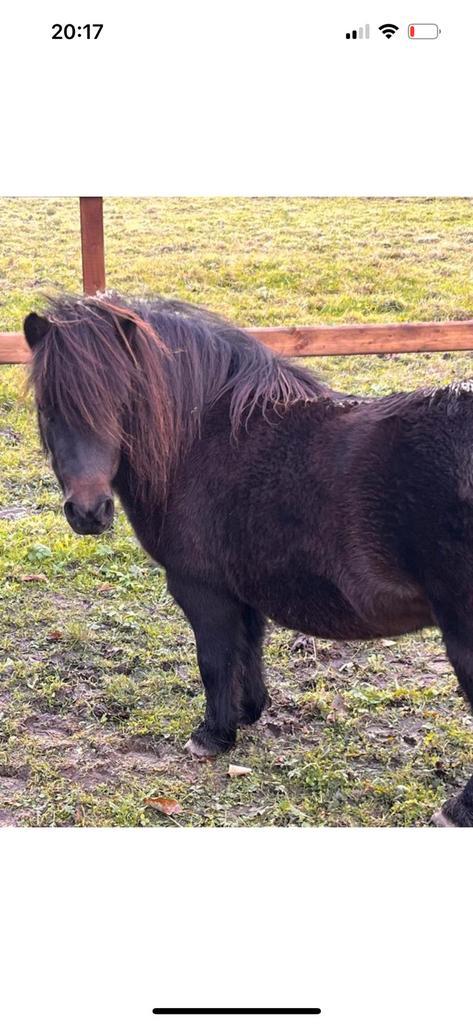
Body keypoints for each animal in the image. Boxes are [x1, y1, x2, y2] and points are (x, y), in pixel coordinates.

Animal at [23, 293, 473, 827]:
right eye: (48, 408)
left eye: (118, 403)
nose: (89, 511)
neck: (201, 438)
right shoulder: (246, 585)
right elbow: (249, 648)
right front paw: (249, 712)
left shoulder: (203, 590)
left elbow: (215, 660)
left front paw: (213, 736)